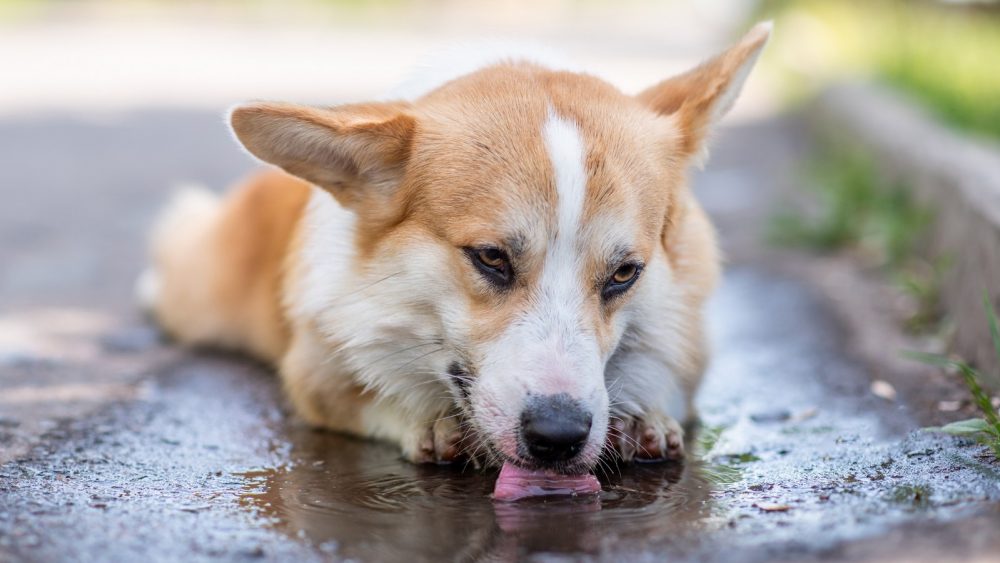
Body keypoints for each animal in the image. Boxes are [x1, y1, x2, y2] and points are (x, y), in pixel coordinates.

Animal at [141, 24, 768, 484]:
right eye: (490, 257)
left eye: (624, 273)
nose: (559, 438)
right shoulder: (317, 370)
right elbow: (363, 396)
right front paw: (428, 423)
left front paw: (643, 419)